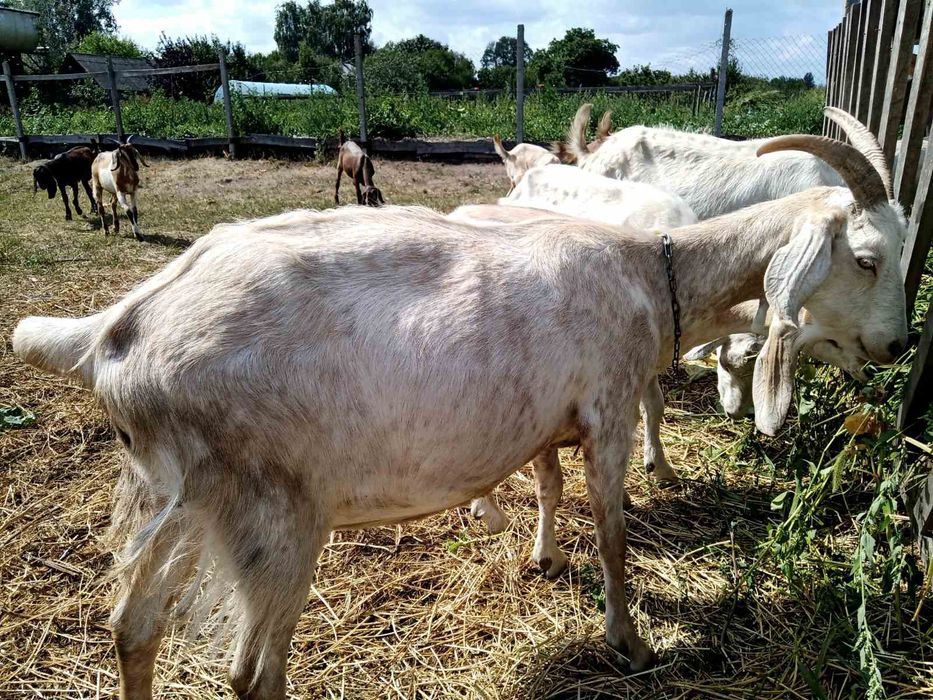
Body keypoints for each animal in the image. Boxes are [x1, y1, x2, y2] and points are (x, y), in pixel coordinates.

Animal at [13, 130, 907, 692]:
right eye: (866, 258)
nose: (898, 344)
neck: (649, 274)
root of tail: (114, 332)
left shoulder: (541, 413)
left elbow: (547, 487)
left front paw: (543, 560)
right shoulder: (608, 410)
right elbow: (613, 530)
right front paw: (626, 641)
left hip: (176, 493)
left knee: (132, 628)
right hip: (275, 511)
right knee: (250, 673)